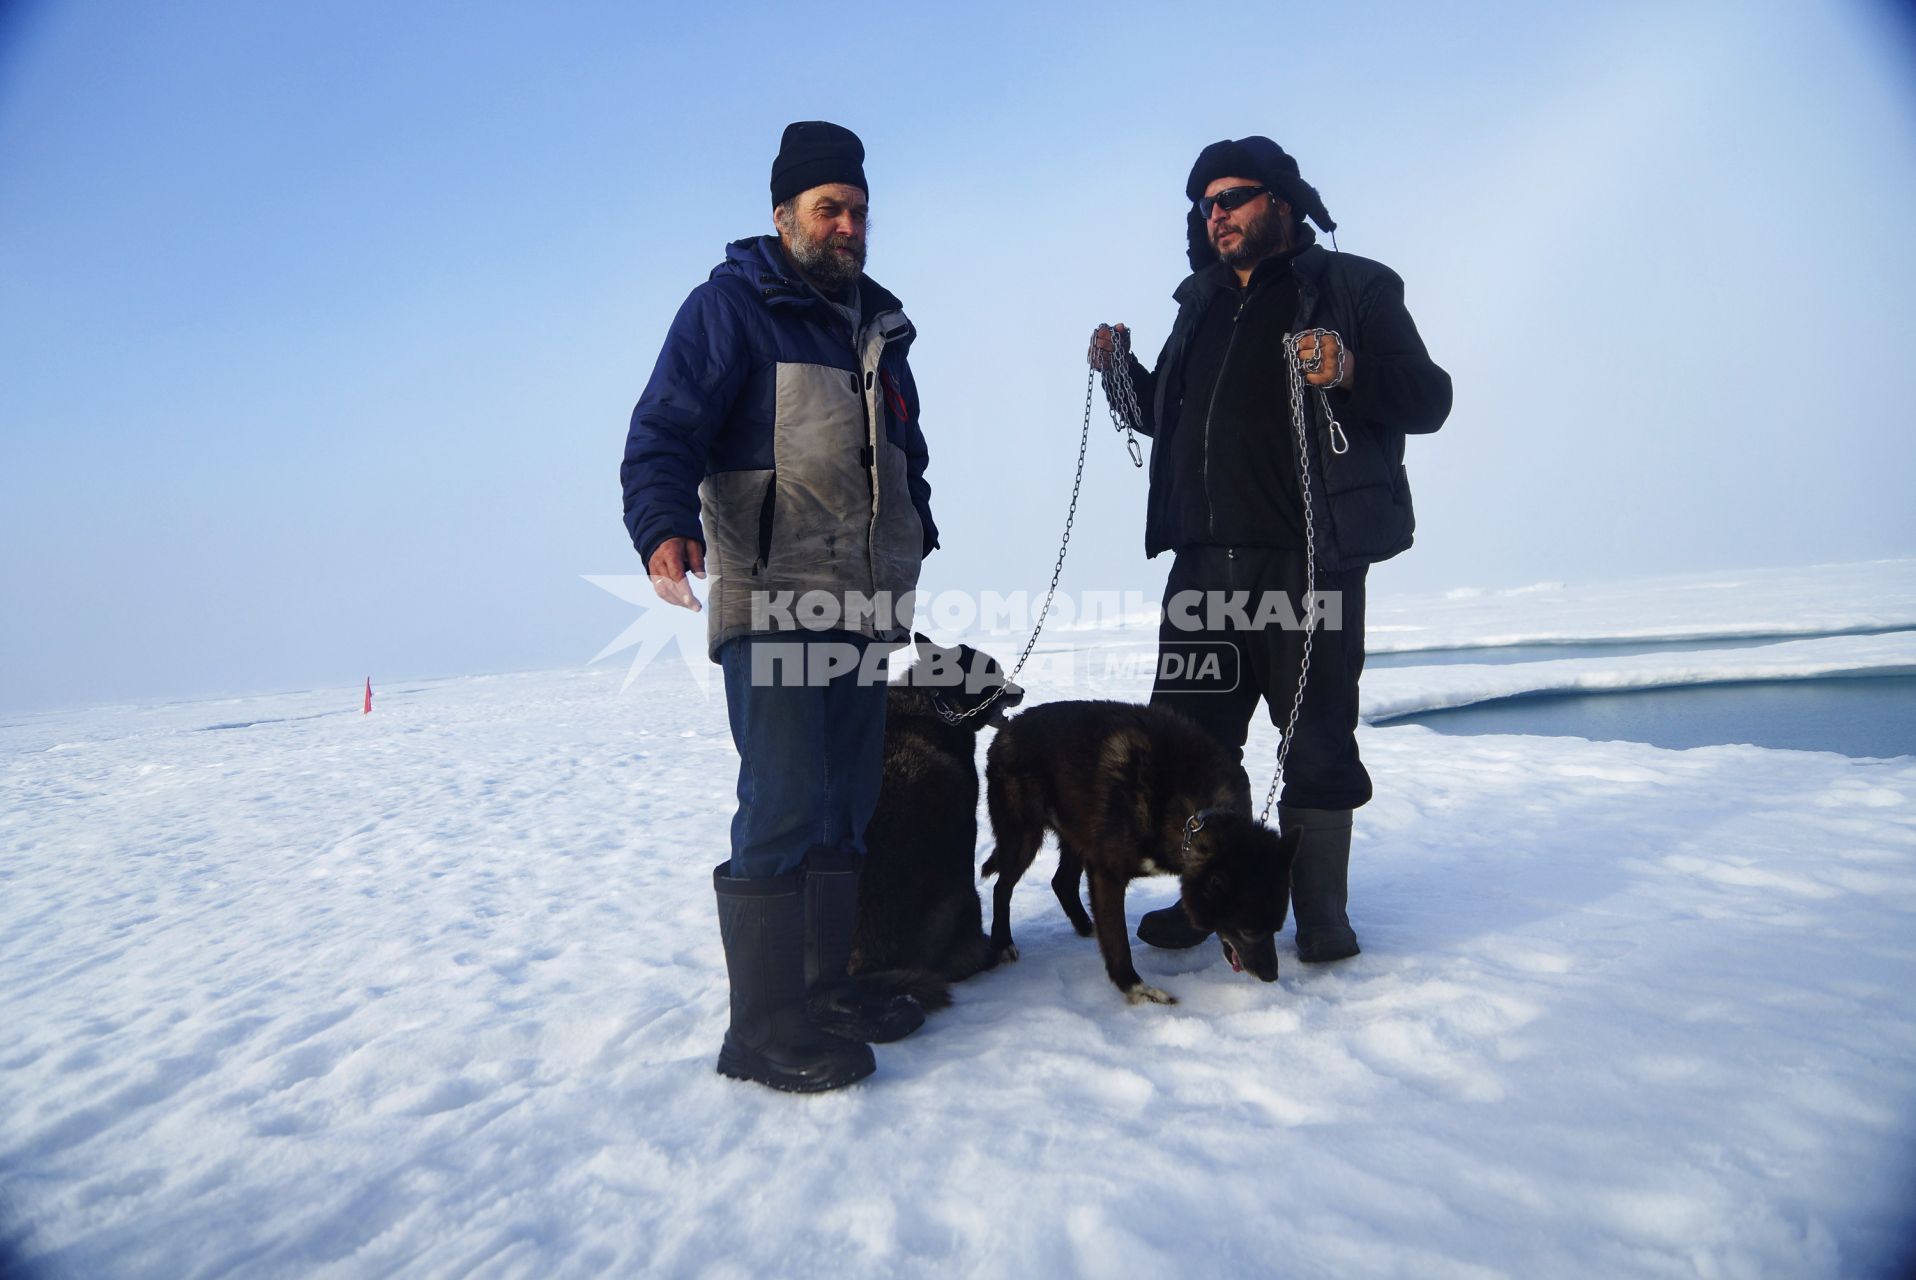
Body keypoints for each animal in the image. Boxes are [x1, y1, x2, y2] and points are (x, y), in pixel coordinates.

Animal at [980, 705, 1295, 1004]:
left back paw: (1086, 927)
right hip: (1023, 838)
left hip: (1076, 835)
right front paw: (1138, 990)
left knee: (1062, 882)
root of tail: (1008, 729)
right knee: (1002, 888)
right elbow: (1118, 941)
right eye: (1248, 932)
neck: (1194, 817)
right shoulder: (1107, 874)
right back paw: (1003, 941)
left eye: (1276, 928)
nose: (1271, 975)